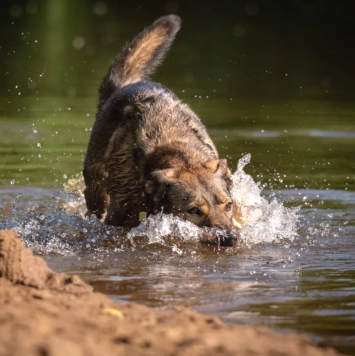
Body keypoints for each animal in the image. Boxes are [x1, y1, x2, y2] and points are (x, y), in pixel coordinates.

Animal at [84, 15, 243, 246]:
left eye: (228, 205)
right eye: (194, 211)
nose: (230, 239)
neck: (179, 152)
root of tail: (122, 87)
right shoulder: (121, 212)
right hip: (96, 188)